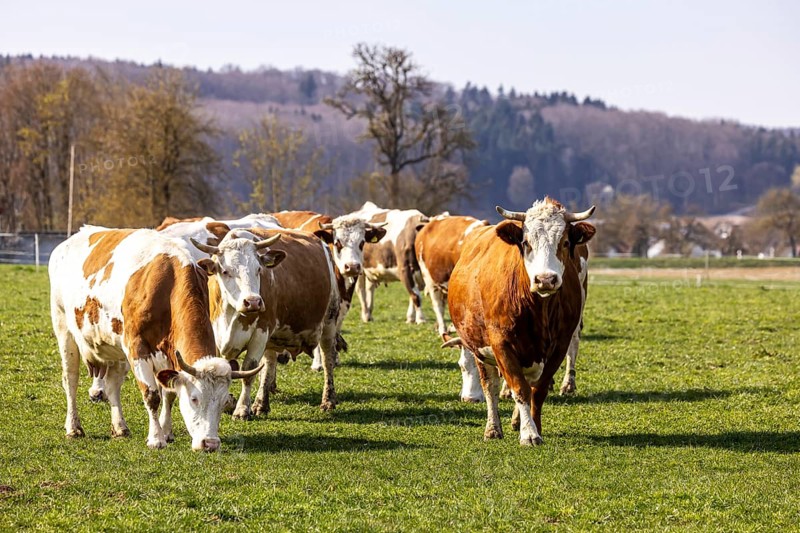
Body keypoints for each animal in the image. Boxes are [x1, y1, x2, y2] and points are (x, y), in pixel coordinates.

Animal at [48, 226, 263, 451]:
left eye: (223, 403)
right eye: (194, 399)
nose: (210, 443)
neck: (168, 285)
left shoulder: (169, 354)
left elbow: (169, 393)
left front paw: (166, 431)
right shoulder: (136, 347)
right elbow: (152, 395)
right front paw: (156, 438)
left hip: (115, 345)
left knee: (112, 384)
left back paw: (120, 427)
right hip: (63, 328)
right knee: (70, 380)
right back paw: (73, 427)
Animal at [192, 225, 340, 419]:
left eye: (258, 270)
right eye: (225, 271)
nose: (253, 302)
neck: (230, 315)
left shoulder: (260, 333)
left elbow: (249, 371)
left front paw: (241, 409)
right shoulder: (216, 333)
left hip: (330, 319)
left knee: (328, 357)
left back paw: (328, 400)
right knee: (269, 363)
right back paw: (261, 404)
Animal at [445, 198, 596, 446]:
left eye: (564, 242)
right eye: (526, 242)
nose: (546, 279)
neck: (537, 310)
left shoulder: (559, 346)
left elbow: (538, 389)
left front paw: (534, 427)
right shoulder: (501, 345)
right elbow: (519, 388)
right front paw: (529, 433)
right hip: (478, 348)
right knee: (490, 386)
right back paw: (493, 428)